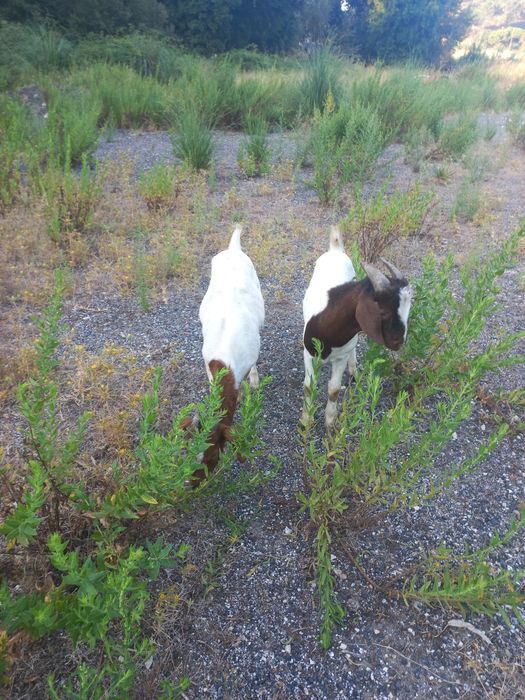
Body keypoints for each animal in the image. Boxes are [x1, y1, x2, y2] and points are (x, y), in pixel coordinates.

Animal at [187, 225, 265, 482]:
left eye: (210, 457)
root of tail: (233, 249)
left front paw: (252, 385)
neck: (225, 364)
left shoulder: (249, 357)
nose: (190, 485)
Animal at [302, 226, 412, 429]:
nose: (398, 341)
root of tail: (335, 249)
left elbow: (334, 389)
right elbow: (309, 386)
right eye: (382, 310)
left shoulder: (341, 356)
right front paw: (305, 421)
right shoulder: (308, 354)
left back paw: (354, 372)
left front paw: (330, 422)